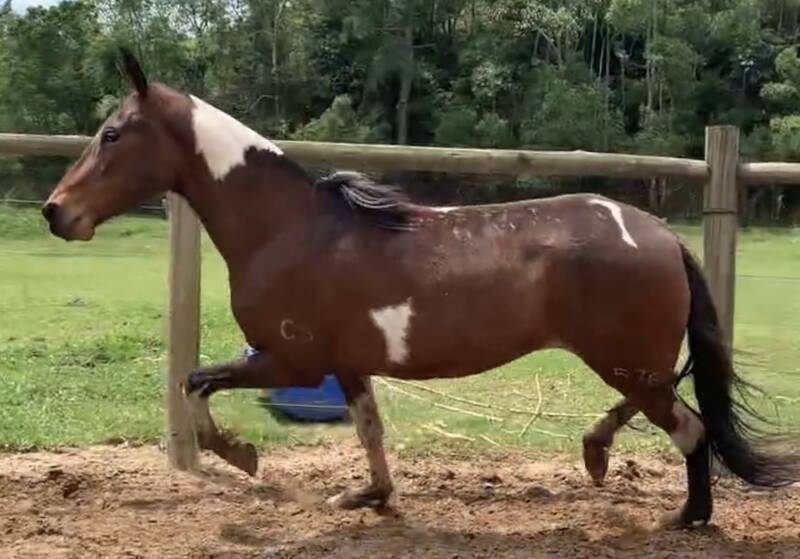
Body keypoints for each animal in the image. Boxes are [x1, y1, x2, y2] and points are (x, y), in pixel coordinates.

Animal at [45, 50, 800, 528]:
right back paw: (597, 456)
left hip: (625, 359)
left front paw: (242, 455)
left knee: (690, 426)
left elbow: (195, 382)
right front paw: (368, 498)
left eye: (113, 134)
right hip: (629, 360)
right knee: (663, 411)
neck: (287, 228)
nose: (57, 212)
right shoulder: (346, 365)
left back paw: (688, 515)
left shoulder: (292, 360)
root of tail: (662, 235)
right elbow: (370, 431)